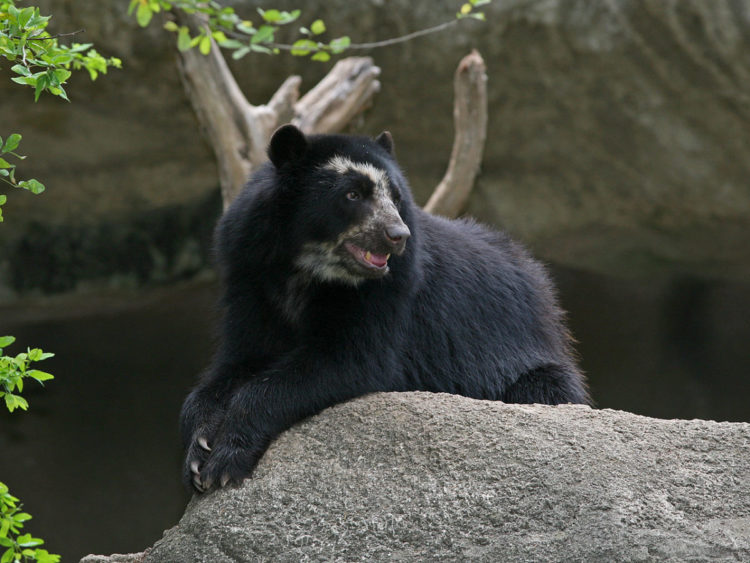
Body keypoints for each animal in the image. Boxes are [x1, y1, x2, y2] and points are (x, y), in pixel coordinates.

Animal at [179, 124, 592, 494]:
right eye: (351, 194)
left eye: (395, 195)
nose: (398, 236)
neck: (305, 267)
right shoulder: (248, 272)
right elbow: (238, 361)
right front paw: (199, 449)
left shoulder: (389, 291)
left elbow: (348, 360)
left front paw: (226, 460)